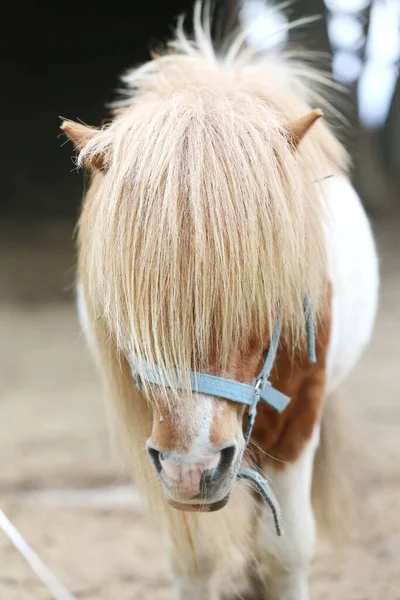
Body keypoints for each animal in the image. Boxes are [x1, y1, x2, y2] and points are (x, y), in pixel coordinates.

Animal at [61, 3, 378, 596]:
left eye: (262, 293)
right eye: (129, 303)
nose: (194, 466)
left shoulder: (300, 420)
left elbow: (286, 554)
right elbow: (196, 558)